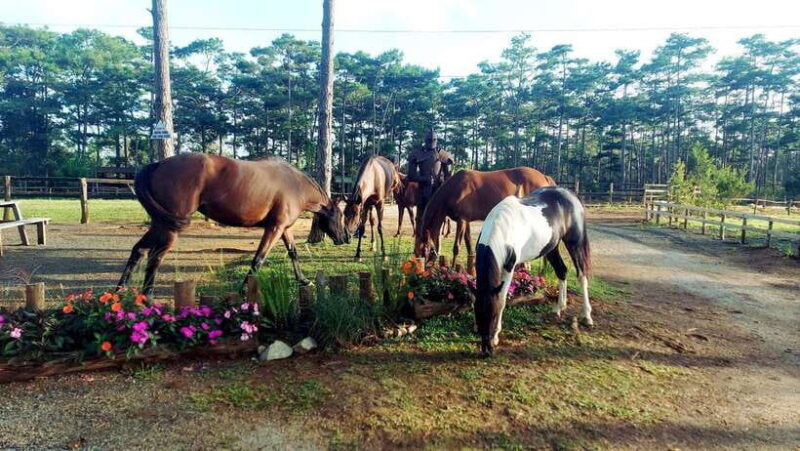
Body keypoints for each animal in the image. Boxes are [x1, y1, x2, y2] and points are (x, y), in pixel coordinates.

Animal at [118, 153, 349, 296]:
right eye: (340, 215)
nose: (345, 238)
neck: (294, 184)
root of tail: (158, 164)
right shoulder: (274, 228)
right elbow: (258, 259)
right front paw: (244, 290)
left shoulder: (284, 229)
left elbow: (293, 253)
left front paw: (303, 280)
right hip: (169, 228)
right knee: (155, 257)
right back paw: (147, 296)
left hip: (160, 224)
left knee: (139, 250)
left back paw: (121, 291)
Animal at [414, 167, 555, 265]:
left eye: (424, 251)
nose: (423, 271)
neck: (455, 188)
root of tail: (545, 177)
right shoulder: (467, 221)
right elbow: (469, 244)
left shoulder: (461, 220)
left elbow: (456, 247)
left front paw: (452, 269)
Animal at [474, 186, 592, 355]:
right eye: (477, 314)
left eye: (494, 314)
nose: (487, 351)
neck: (502, 227)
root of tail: (570, 194)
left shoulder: (509, 268)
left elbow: (502, 300)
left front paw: (496, 336)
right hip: (552, 248)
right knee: (562, 271)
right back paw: (559, 308)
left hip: (575, 243)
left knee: (582, 276)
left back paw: (587, 316)